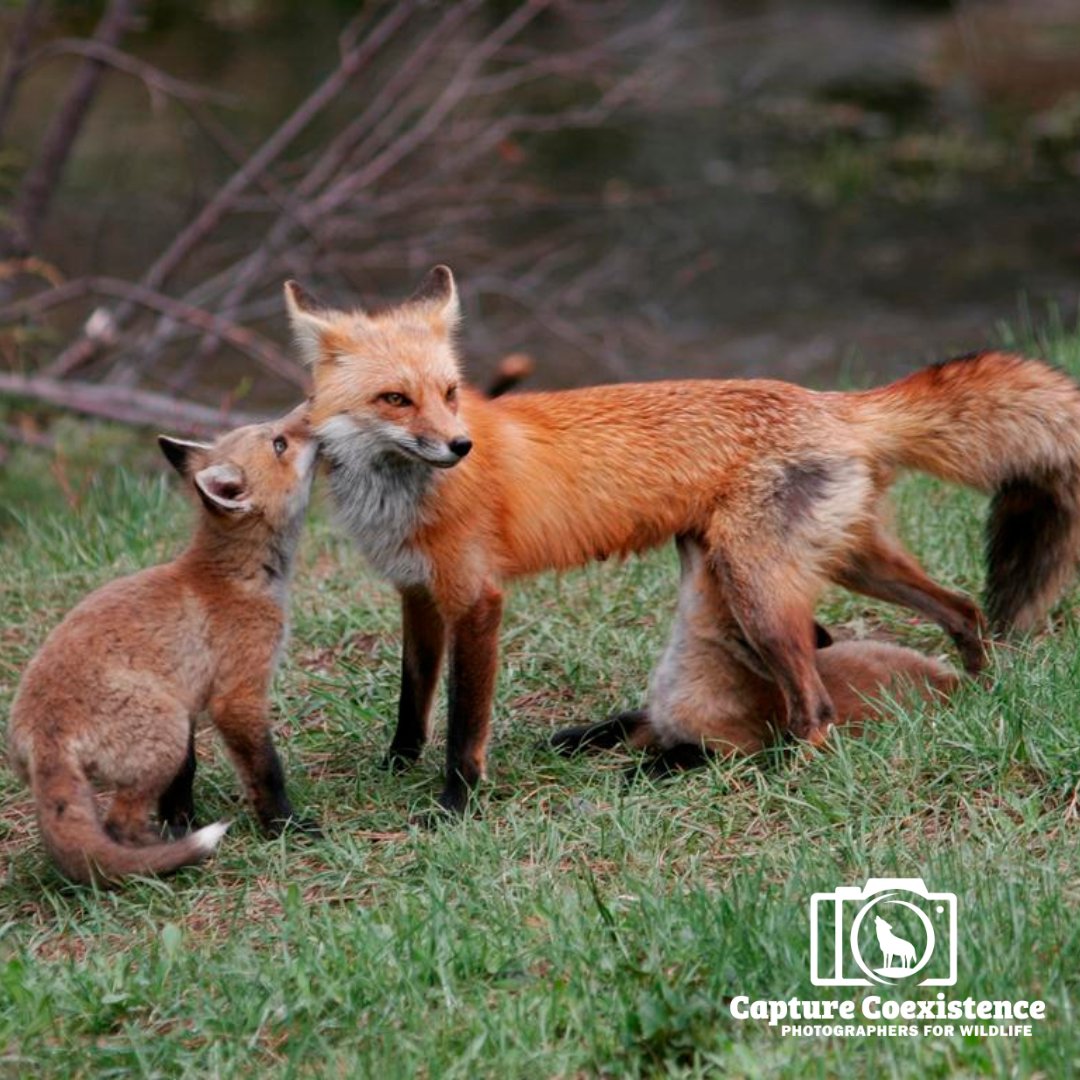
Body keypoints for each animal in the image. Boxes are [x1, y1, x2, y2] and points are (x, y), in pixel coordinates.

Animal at [9, 408, 319, 881]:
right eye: (279, 443)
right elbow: (267, 771)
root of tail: (42, 733)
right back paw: (163, 857)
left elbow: (183, 779)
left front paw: (183, 819)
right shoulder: (236, 695)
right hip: (164, 730)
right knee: (119, 824)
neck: (236, 578)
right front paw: (285, 827)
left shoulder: (190, 701)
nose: (313, 407)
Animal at [552, 535, 959, 773]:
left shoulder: (733, 746)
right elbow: (610, 725)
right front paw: (562, 741)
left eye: (715, 560)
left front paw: (632, 774)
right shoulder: (655, 721)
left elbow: (676, 755)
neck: (680, 681)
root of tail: (955, 681)